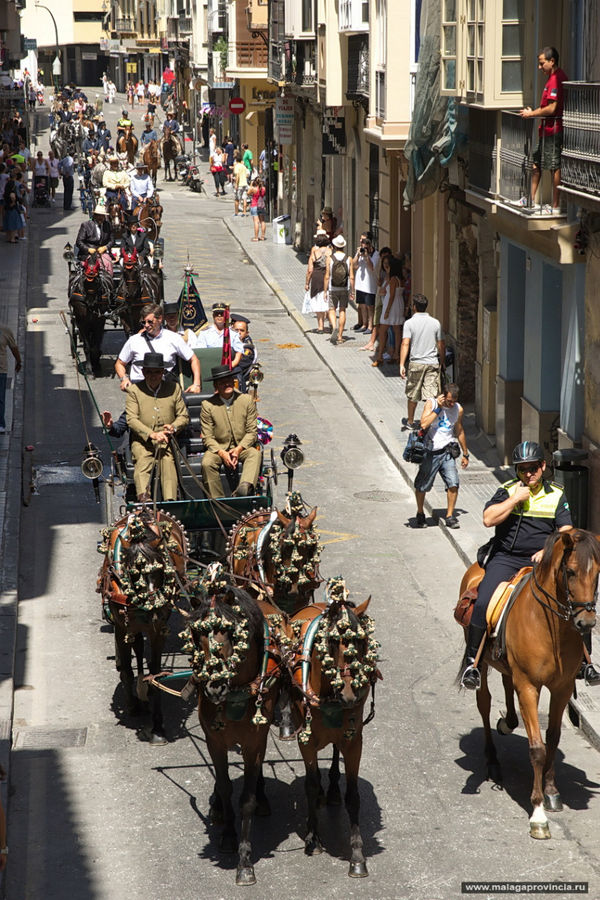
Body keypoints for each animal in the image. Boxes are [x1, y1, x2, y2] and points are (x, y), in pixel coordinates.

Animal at [96, 506, 188, 744]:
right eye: (133, 572)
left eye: (160, 569)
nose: (153, 610)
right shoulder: (121, 627)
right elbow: (127, 669)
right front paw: (132, 706)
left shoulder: (158, 631)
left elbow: (155, 674)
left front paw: (157, 727)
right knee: (135, 648)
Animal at [182, 568, 284, 884]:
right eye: (196, 634)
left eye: (231, 631)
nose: (214, 687)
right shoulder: (214, 740)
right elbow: (226, 787)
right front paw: (227, 836)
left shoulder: (253, 742)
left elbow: (246, 800)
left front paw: (245, 861)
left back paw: (263, 796)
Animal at [288, 576, 380, 880]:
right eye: (329, 640)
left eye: (361, 641)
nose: (350, 694)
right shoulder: (306, 739)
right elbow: (310, 783)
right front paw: (313, 838)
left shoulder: (354, 740)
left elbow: (354, 796)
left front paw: (357, 857)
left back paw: (332, 790)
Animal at [458, 532, 600, 840]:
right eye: (570, 572)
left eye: (597, 573)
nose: (586, 622)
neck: (552, 628)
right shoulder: (529, 686)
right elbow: (536, 748)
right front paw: (538, 813)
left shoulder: (561, 687)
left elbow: (553, 738)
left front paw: (551, 792)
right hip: (483, 663)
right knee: (484, 702)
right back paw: (492, 762)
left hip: (509, 666)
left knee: (506, 686)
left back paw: (508, 722)